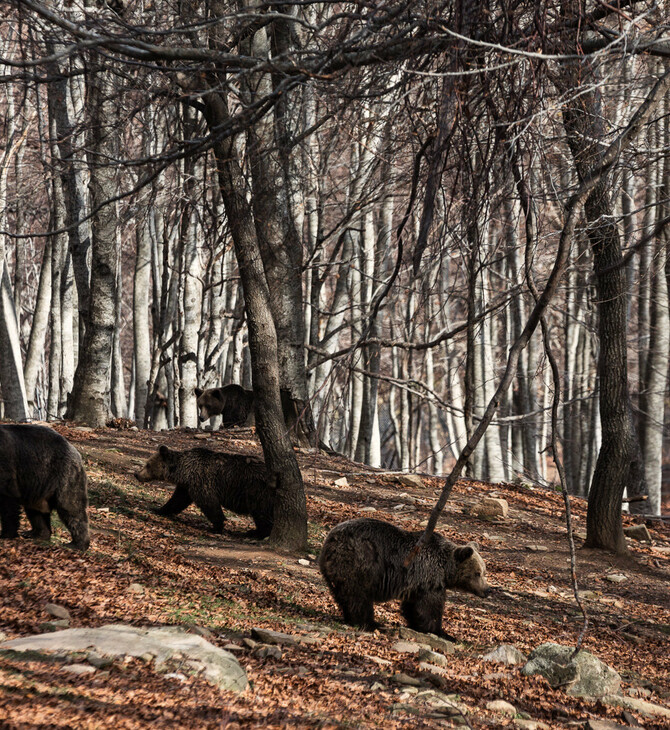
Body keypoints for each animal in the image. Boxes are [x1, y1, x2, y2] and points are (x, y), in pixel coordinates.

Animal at [136, 440, 276, 536]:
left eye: (148, 464)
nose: (136, 474)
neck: (183, 472)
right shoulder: (186, 487)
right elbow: (176, 501)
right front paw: (159, 509)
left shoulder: (201, 482)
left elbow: (209, 503)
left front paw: (217, 526)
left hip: (257, 491)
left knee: (261, 513)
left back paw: (256, 533)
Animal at [320, 516, 494, 632]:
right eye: (477, 573)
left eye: (484, 571)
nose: (487, 590)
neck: (445, 569)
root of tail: (331, 539)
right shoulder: (429, 577)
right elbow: (430, 607)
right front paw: (441, 631)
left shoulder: (417, 583)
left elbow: (413, 607)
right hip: (361, 561)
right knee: (358, 596)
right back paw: (370, 623)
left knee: (344, 595)